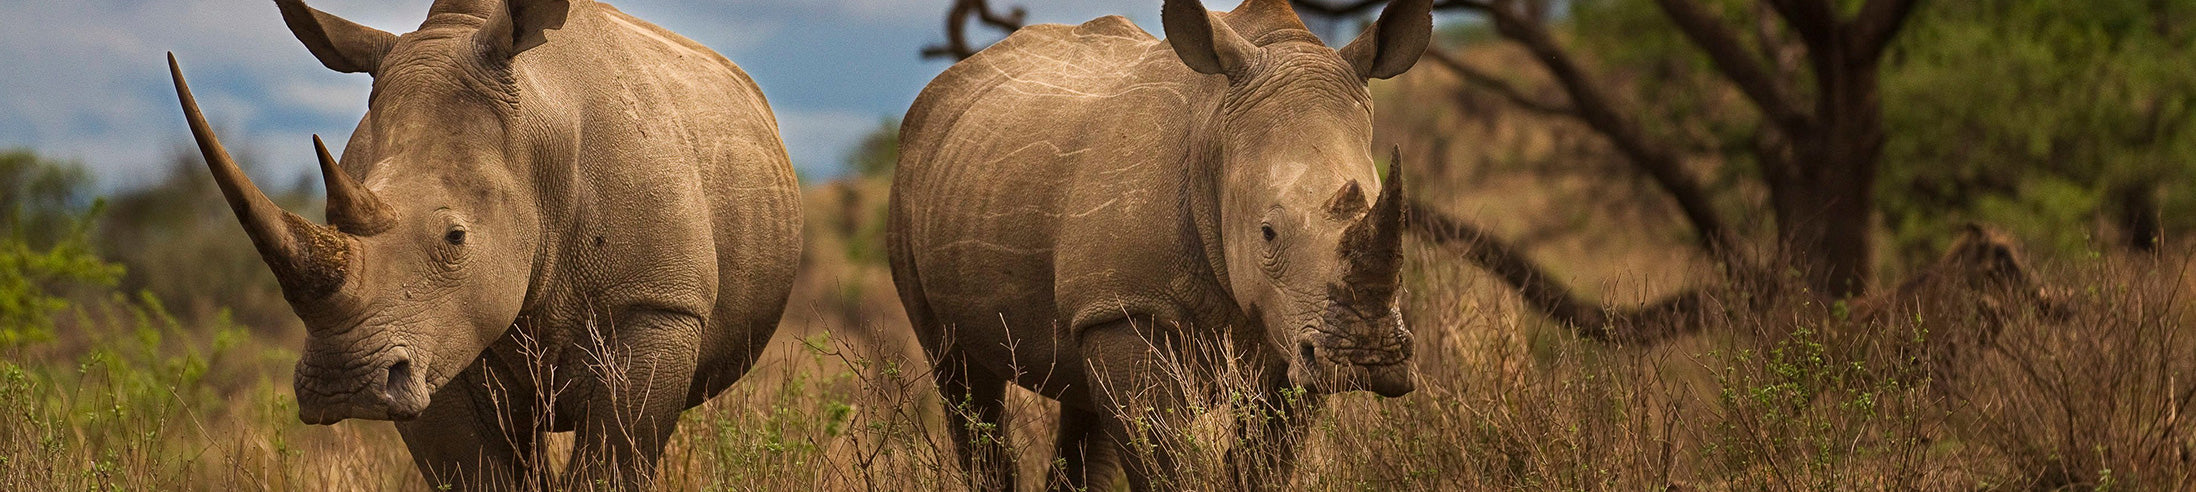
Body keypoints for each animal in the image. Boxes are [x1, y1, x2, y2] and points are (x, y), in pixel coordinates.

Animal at [167, 0, 802, 487]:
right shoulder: (435, 339)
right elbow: (477, 471)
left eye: (456, 237)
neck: (536, 144)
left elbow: (613, 464)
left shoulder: (655, 305)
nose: (340, 384)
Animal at [887, 0, 1430, 489]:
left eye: (1396, 217)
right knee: (959, 376)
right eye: (1268, 233)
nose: (1367, 358)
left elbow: (1266, 459)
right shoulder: (1128, 306)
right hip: (912, 179)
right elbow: (1160, 457)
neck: (1215, 137)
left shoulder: (1299, 333)